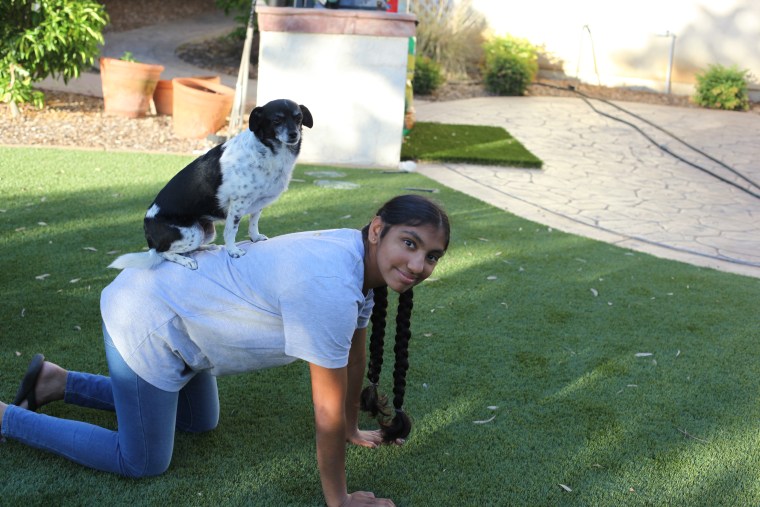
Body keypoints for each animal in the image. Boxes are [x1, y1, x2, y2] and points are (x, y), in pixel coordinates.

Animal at [108, 96, 314, 268]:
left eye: (298, 118)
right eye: (277, 120)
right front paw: (233, 251)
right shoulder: (237, 205)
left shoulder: (257, 204)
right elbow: (231, 231)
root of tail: (149, 236)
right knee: (163, 253)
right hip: (192, 233)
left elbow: (253, 223)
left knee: (185, 249)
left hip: (206, 232)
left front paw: (255, 238)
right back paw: (186, 260)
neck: (268, 151)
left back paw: (207, 248)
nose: (294, 134)